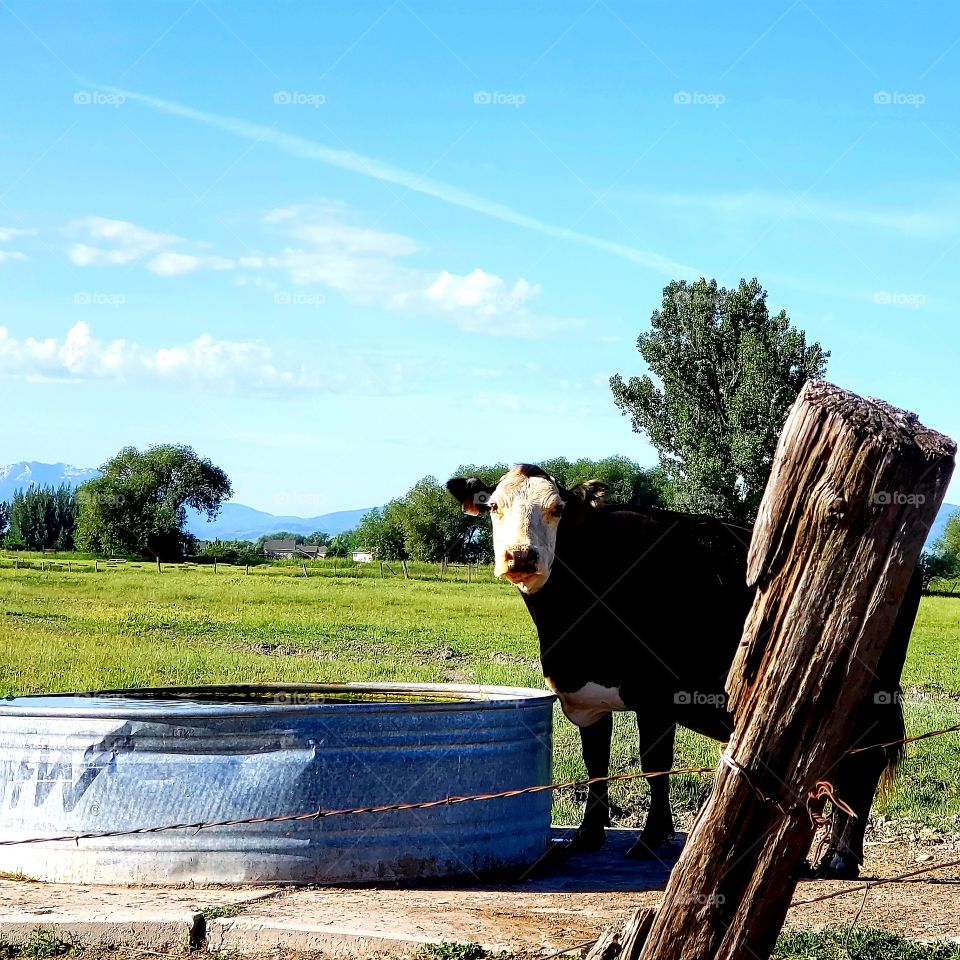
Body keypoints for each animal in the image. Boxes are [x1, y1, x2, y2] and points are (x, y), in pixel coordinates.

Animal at [446, 463, 918, 880]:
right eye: (493, 506)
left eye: (557, 509)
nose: (520, 556)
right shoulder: (586, 697)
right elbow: (595, 762)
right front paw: (587, 836)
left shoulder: (657, 695)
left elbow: (655, 765)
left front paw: (651, 838)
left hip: (867, 695)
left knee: (865, 763)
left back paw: (840, 858)